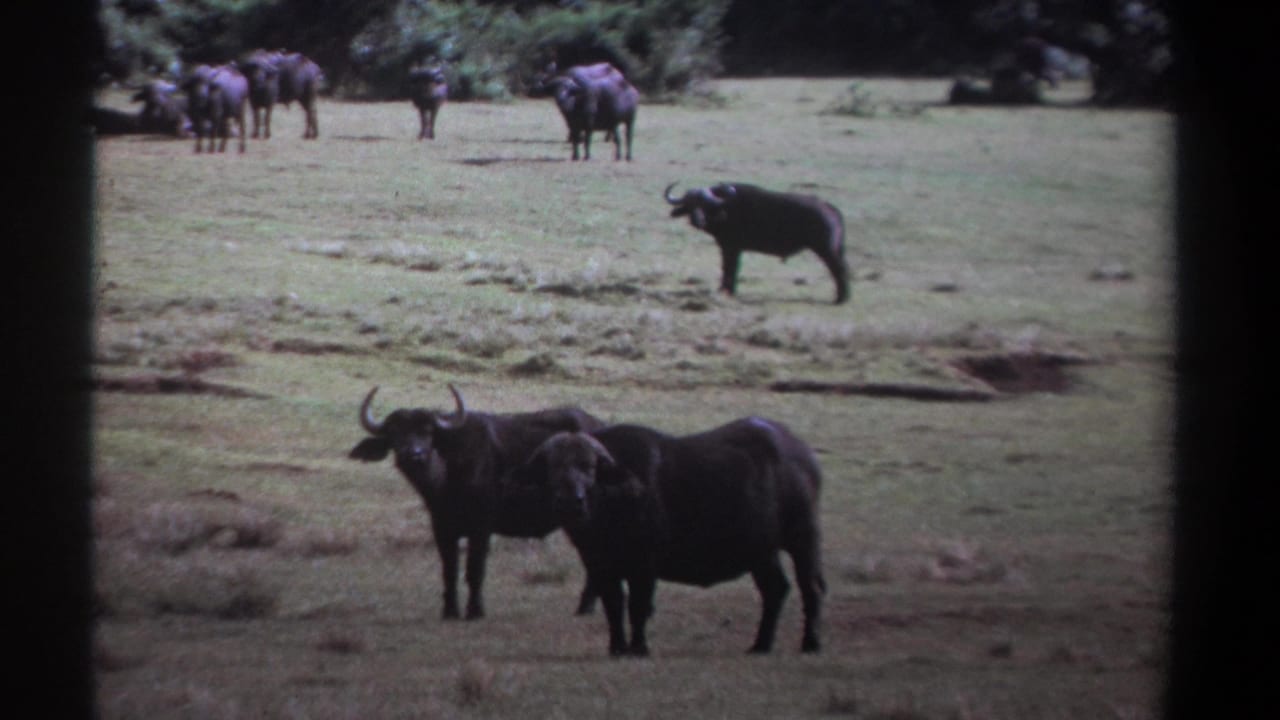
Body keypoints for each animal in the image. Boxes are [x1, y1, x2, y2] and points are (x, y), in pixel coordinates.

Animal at [349, 385, 604, 619]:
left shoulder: (481, 527)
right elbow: (449, 570)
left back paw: (585, 607)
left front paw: (475, 610)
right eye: (394, 432)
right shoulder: (441, 527)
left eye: (427, 431)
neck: (447, 474)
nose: (413, 454)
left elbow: (474, 569)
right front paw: (450, 611)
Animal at [517, 418, 826, 656]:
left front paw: (638, 648)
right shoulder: (600, 565)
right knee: (776, 588)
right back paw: (761, 644)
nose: (571, 501)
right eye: (552, 467)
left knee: (810, 587)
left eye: (589, 466)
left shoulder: (644, 564)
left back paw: (810, 643)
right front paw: (616, 647)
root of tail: (803, 454)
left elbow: (638, 605)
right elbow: (613, 605)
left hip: (803, 538)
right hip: (762, 552)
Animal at [664, 182, 851, 304]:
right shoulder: (730, 248)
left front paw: (727, 290)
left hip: (826, 250)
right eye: (689, 204)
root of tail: (830, 209)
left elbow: (730, 268)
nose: (697, 221)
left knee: (839, 270)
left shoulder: (731, 247)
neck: (726, 208)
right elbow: (728, 268)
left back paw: (841, 299)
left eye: (705, 205)